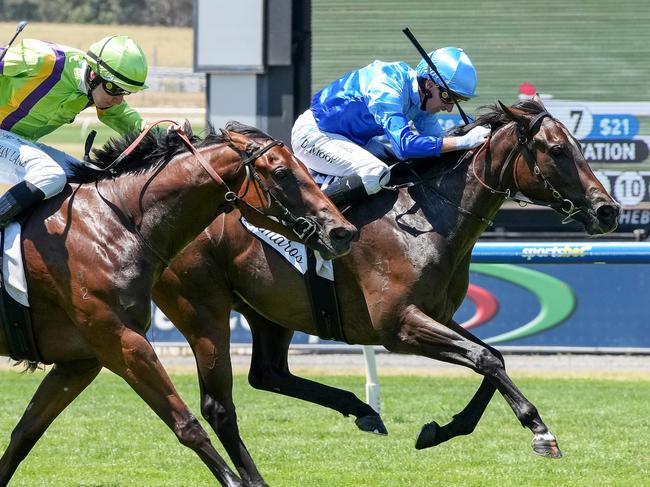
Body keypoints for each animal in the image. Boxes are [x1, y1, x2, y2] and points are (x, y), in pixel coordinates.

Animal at [0, 121, 356, 487]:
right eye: (282, 172)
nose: (342, 231)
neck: (115, 227)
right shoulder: (121, 342)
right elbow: (187, 425)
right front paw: (236, 480)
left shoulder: (81, 360)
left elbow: (24, 434)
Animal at [151, 97, 616, 486]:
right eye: (557, 150)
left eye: (579, 145)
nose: (607, 210)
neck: (428, 221)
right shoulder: (399, 326)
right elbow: (484, 360)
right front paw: (540, 430)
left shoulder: (437, 315)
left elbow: (492, 358)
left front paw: (440, 430)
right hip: (204, 312)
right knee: (219, 404)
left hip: (268, 310)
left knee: (269, 374)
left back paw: (363, 410)